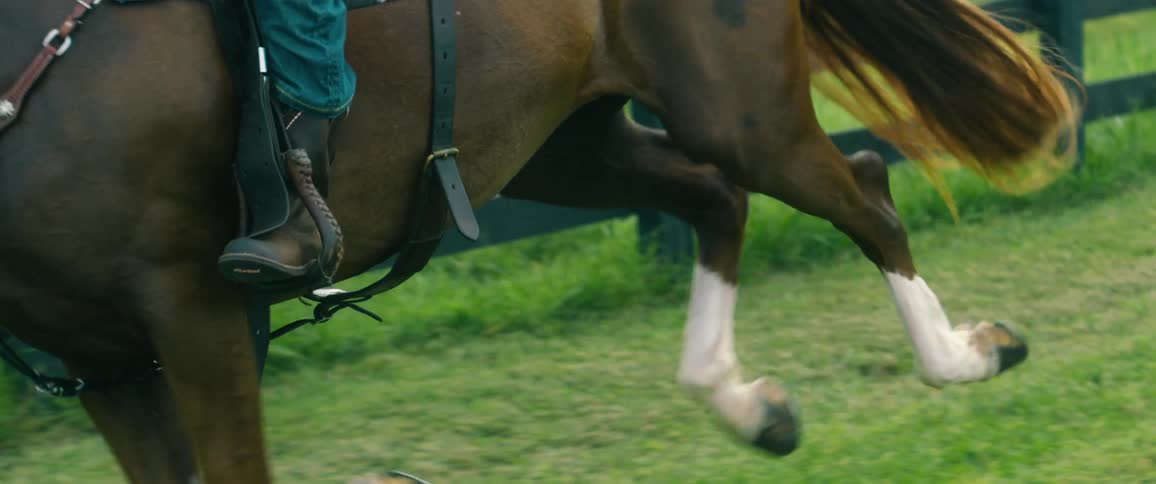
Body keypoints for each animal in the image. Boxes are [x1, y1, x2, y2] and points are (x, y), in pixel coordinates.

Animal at [0, 0, 1078, 481]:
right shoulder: (109, 367)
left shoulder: (197, 318)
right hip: (565, 144)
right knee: (713, 202)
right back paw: (745, 404)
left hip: (739, 112)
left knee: (862, 194)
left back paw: (964, 355)